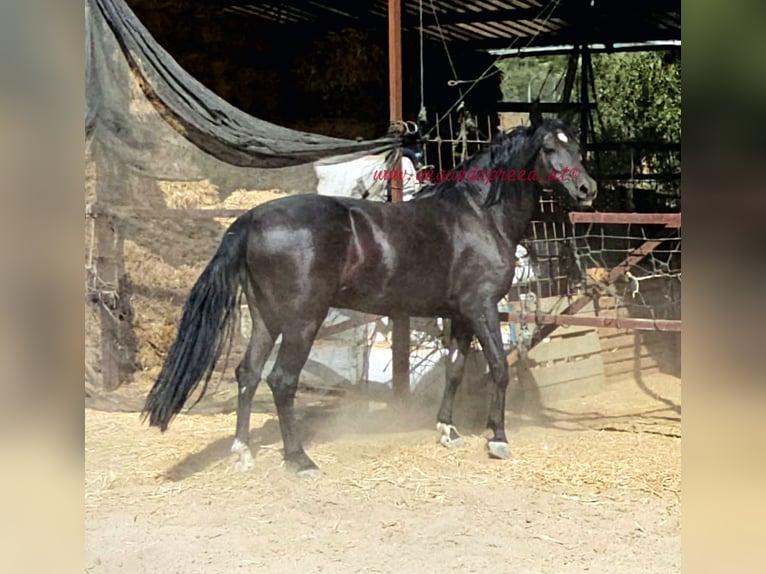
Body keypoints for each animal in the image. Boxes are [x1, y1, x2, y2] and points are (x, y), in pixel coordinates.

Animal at [144, 111, 600, 476]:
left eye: (576, 145)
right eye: (548, 148)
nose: (587, 190)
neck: (478, 215)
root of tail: (253, 218)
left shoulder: (458, 314)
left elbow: (454, 371)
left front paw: (447, 429)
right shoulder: (482, 308)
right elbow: (499, 369)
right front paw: (498, 438)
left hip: (265, 319)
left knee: (248, 374)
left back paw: (243, 452)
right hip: (302, 321)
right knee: (281, 380)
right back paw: (300, 460)